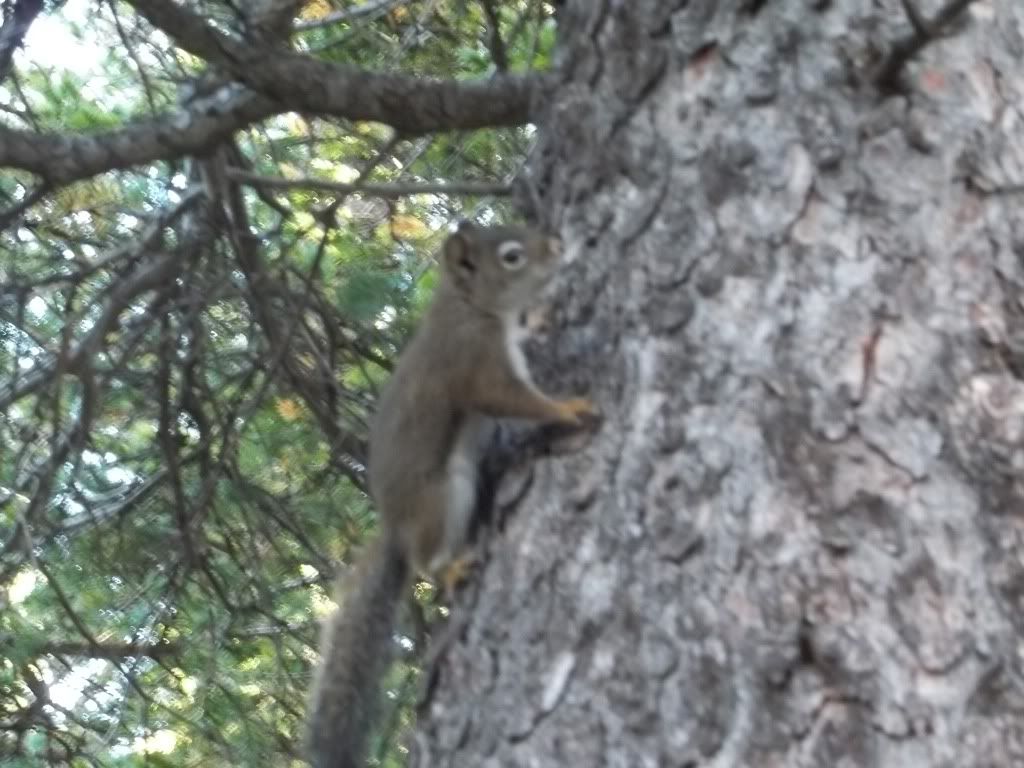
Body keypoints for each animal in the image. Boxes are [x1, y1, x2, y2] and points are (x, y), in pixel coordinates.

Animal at [303, 221, 598, 768]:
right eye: (511, 256)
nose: (558, 246)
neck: (469, 306)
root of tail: (397, 528)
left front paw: (540, 319)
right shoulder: (475, 361)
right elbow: (512, 400)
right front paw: (567, 408)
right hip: (444, 495)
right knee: (426, 562)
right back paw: (451, 568)